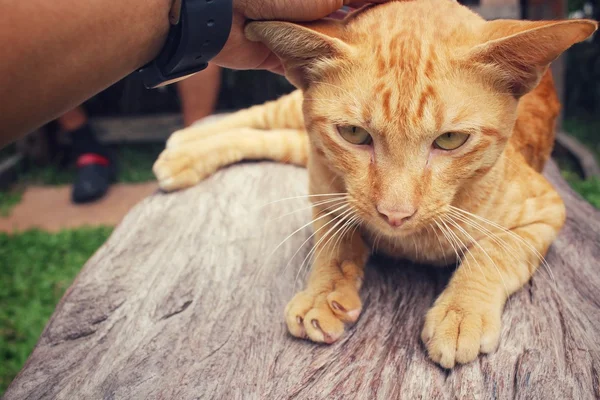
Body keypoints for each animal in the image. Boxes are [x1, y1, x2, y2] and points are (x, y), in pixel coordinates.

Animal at [154, 0, 596, 368]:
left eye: (451, 140)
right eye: (353, 133)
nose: (395, 214)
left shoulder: (546, 209)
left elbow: (494, 253)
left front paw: (462, 312)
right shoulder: (325, 192)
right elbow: (333, 244)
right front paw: (326, 290)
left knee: (270, 136)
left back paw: (183, 153)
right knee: (258, 116)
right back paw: (185, 143)